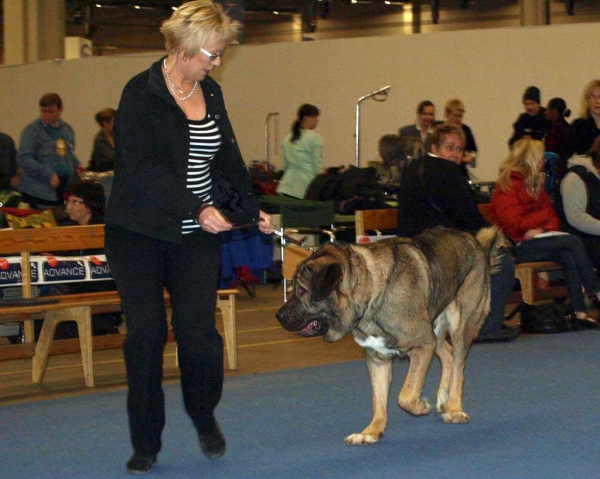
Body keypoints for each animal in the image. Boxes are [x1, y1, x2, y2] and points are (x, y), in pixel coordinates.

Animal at [276, 228, 506, 446]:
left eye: (302, 291)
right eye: (293, 288)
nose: (278, 316)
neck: (372, 293)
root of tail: (476, 243)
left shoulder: (423, 345)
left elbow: (406, 395)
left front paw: (421, 406)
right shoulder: (378, 358)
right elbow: (379, 399)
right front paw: (371, 432)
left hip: (461, 322)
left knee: (458, 363)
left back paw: (454, 407)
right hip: (434, 326)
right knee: (448, 355)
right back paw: (444, 400)